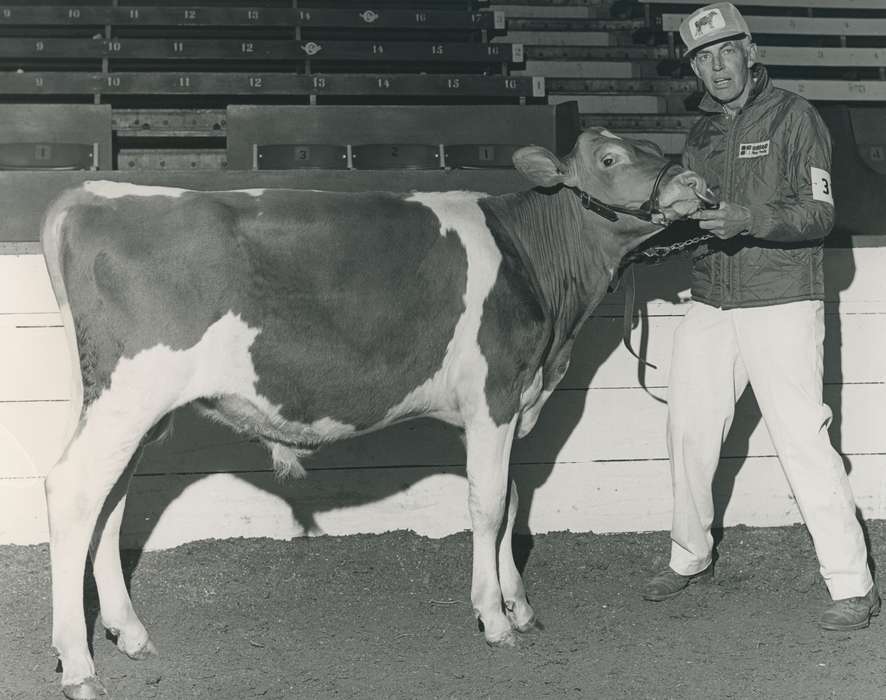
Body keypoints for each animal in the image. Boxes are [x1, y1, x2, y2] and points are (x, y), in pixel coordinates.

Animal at [40, 127, 709, 699]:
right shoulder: (492, 396)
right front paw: (493, 617)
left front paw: (519, 605)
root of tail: (90, 196)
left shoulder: (513, 402)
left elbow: (513, 498)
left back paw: (129, 633)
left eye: (655, 146)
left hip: (128, 407)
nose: (694, 183)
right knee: (73, 491)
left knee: (110, 501)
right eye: (609, 159)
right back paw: (78, 665)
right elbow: (490, 505)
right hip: (132, 393)